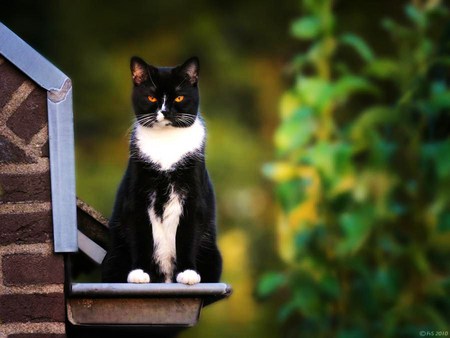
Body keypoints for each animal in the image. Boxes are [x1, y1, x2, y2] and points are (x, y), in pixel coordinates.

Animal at [101, 56, 222, 284]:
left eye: (179, 97)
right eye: (151, 96)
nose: (165, 111)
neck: (166, 143)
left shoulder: (193, 194)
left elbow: (188, 235)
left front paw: (188, 273)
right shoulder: (137, 194)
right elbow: (140, 235)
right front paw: (139, 272)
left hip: (213, 255)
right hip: (113, 256)